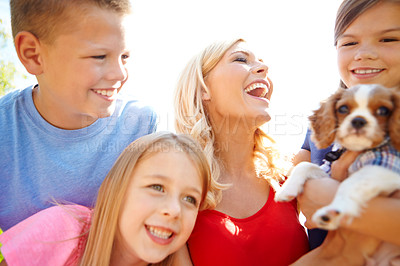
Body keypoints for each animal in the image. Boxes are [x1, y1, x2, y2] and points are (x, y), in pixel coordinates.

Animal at [276, 83, 400, 264]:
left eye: (383, 110)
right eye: (343, 108)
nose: (358, 120)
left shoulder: (385, 167)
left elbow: (351, 183)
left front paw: (334, 210)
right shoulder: (328, 171)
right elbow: (305, 165)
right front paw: (287, 189)